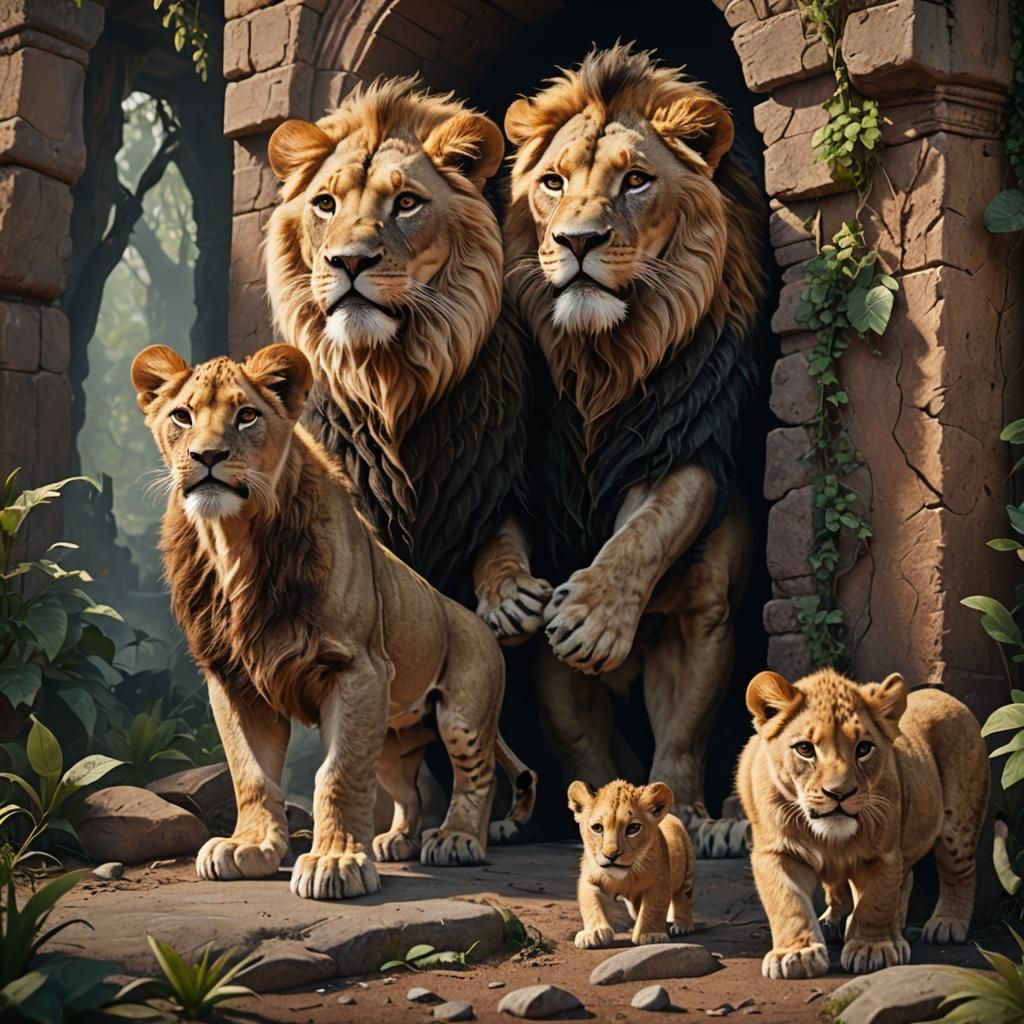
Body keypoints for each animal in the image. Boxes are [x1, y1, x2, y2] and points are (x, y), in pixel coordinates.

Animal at [131, 342, 528, 898]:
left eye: (246, 416)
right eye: (181, 417)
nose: (206, 457)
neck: (235, 545)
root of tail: (470, 615)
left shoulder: (358, 670)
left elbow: (337, 774)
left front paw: (336, 862)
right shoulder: (233, 681)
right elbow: (250, 773)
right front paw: (248, 848)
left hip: (464, 714)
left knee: (478, 777)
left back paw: (456, 840)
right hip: (390, 739)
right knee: (407, 791)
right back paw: (398, 841)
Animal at [503, 44, 764, 851]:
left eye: (636, 181)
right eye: (553, 183)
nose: (577, 243)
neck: (605, 365)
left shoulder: (698, 607)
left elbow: (648, 528)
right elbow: (584, 744)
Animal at [568, 779, 695, 949]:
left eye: (633, 828)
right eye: (597, 828)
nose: (611, 855)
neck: (625, 876)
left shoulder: (659, 881)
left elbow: (654, 906)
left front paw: (651, 935)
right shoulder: (589, 878)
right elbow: (591, 902)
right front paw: (594, 933)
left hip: (687, 872)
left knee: (683, 897)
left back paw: (682, 925)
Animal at [737, 668, 990, 978]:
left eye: (864, 748)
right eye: (805, 749)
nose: (839, 794)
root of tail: (941, 693)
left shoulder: (883, 853)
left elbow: (875, 901)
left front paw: (871, 949)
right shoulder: (776, 851)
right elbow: (788, 902)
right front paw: (797, 953)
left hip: (959, 823)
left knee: (959, 873)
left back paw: (946, 924)